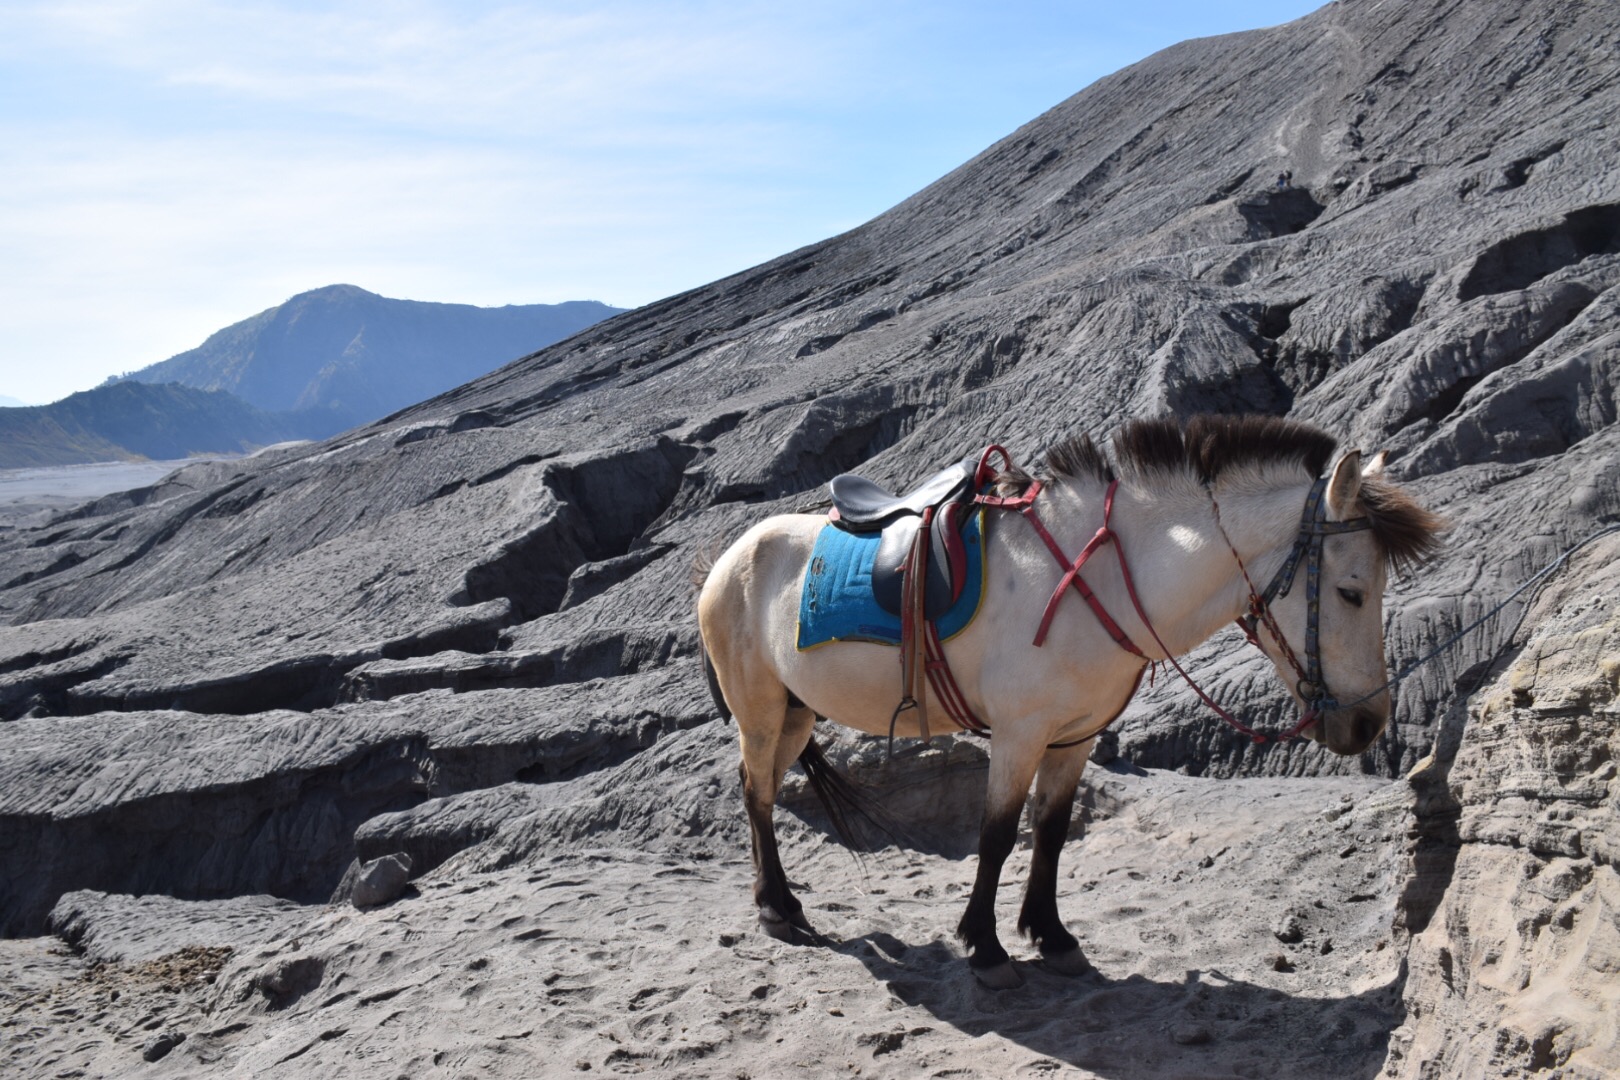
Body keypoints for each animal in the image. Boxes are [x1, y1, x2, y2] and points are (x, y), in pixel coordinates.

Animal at [696, 414, 1445, 990]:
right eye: (1351, 590)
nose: (1368, 722)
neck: (1104, 575)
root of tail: (729, 557)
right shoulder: (1019, 734)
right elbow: (998, 835)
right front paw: (986, 948)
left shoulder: (1074, 736)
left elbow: (1051, 832)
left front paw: (1051, 936)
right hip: (761, 712)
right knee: (756, 793)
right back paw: (776, 907)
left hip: (797, 713)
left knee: (762, 787)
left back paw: (781, 903)